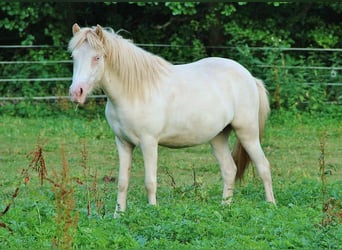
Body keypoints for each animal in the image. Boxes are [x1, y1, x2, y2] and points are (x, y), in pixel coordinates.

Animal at [69, 23, 276, 215]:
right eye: (74, 57)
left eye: (97, 57)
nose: (76, 92)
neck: (135, 92)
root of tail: (249, 77)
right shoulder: (123, 142)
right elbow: (122, 182)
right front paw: (118, 215)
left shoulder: (149, 143)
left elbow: (150, 182)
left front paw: (153, 212)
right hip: (218, 137)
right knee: (229, 169)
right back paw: (225, 207)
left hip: (247, 133)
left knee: (263, 166)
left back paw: (271, 205)